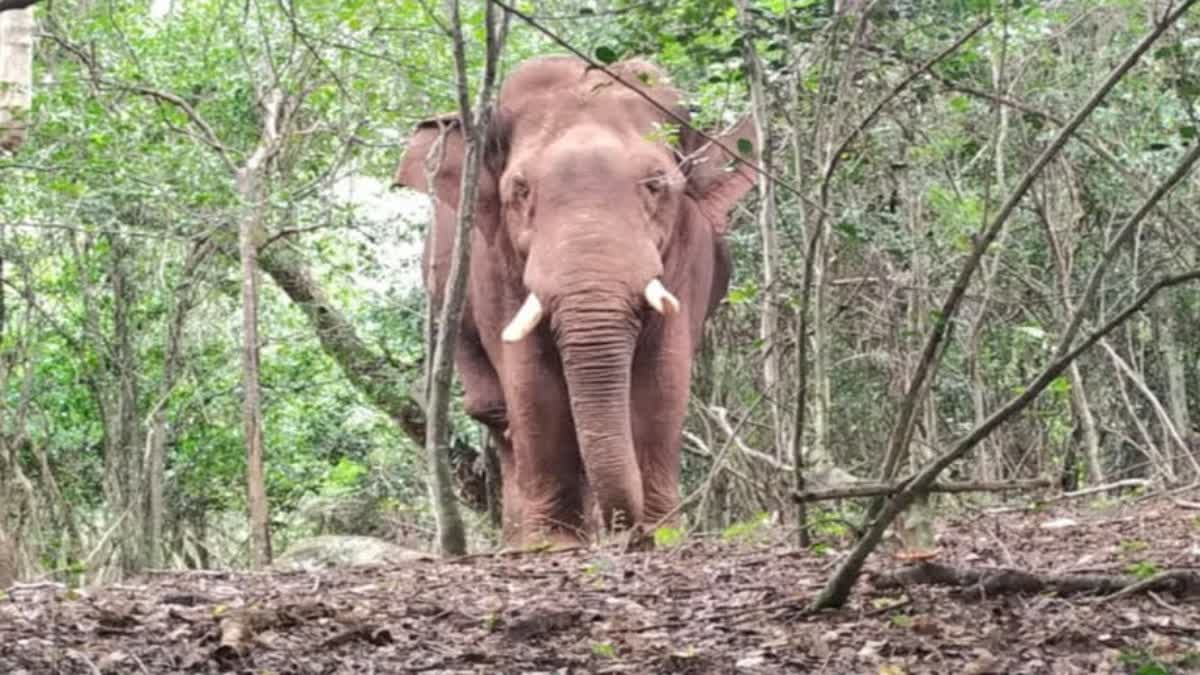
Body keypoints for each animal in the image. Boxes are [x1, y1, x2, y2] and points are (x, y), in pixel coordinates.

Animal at [393, 53, 758, 547]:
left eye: (656, 185)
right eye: (519, 190)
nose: (630, 533)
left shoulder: (692, 253)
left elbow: (664, 375)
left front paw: (662, 534)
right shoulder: (491, 263)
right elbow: (530, 379)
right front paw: (556, 543)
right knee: (495, 411)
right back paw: (522, 540)